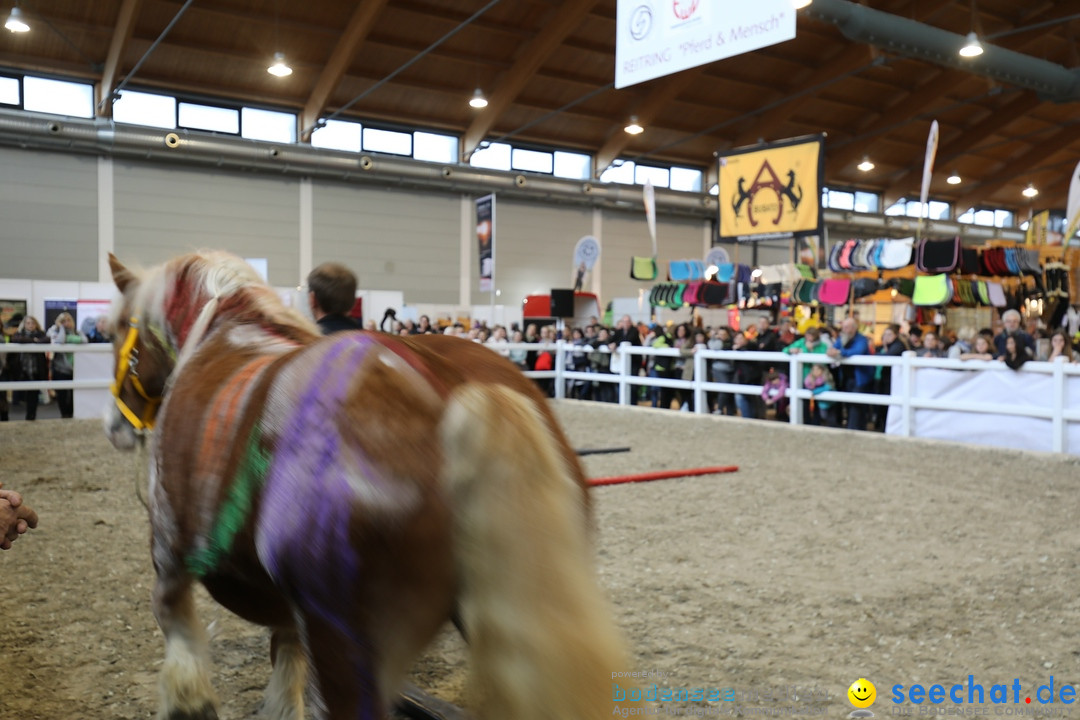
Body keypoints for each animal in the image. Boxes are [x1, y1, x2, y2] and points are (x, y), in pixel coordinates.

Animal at [103, 252, 630, 720]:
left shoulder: (169, 553)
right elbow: (286, 661)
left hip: (349, 648)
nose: (115, 426)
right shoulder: (288, 610)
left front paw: (187, 702)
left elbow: (177, 631)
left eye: (116, 331)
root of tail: (451, 397)